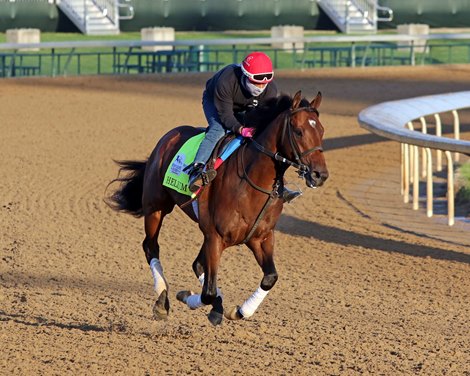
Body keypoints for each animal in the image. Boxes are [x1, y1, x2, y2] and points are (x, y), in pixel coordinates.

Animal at [106, 91, 328, 326]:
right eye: (299, 131)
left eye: (322, 130)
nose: (320, 174)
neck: (251, 184)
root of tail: (168, 137)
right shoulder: (215, 236)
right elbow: (208, 292)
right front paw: (198, 301)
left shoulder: (261, 237)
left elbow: (269, 278)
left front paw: (240, 310)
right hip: (156, 207)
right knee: (151, 247)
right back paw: (161, 300)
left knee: (196, 264)